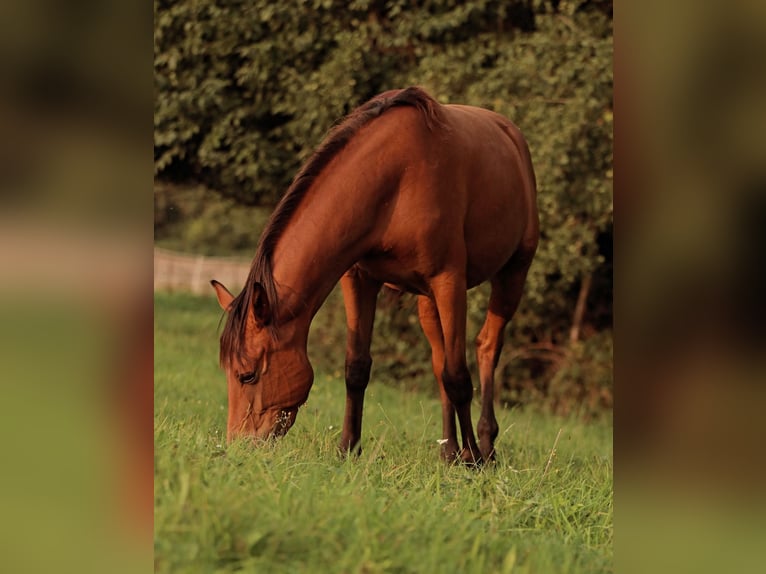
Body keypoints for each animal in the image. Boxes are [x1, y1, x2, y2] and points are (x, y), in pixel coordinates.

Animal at [212, 85, 540, 466]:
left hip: (512, 273)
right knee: (439, 360)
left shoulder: (449, 280)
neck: (396, 179)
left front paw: (473, 460)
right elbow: (357, 367)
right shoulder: (359, 279)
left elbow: (459, 377)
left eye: (246, 375)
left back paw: (485, 448)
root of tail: (511, 133)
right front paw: (348, 449)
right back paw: (449, 452)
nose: (239, 445)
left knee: (486, 347)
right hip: (427, 300)